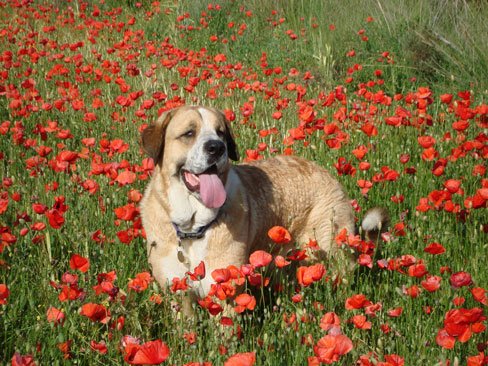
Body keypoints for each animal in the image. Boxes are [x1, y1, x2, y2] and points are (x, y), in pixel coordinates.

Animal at [139, 104, 386, 314]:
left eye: (221, 133)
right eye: (189, 133)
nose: (217, 147)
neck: (193, 228)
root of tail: (329, 174)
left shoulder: (226, 296)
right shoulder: (179, 297)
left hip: (331, 249)